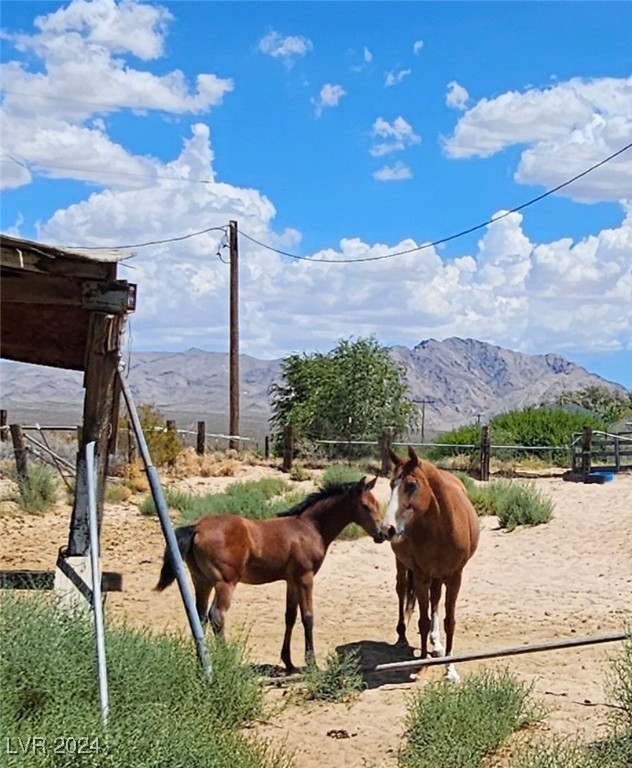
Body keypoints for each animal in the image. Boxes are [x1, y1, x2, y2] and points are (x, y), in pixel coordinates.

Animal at [155, 476, 382, 668]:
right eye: (365, 506)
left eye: (377, 504)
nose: (382, 533)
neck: (310, 527)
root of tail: (197, 527)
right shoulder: (305, 577)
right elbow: (308, 617)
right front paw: (312, 664)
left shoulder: (291, 580)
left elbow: (290, 616)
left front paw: (288, 662)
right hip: (225, 583)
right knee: (216, 616)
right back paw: (226, 660)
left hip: (202, 581)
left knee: (199, 616)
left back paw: (201, 661)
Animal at [380, 448, 478, 680]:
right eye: (391, 484)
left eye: (411, 485)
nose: (387, 529)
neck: (442, 528)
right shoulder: (421, 576)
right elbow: (422, 621)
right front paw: (422, 666)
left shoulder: (454, 577)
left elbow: (449, 621)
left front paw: (450, 668)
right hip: (403, 565)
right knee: (401, 590)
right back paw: (402, 637)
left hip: (438, 576)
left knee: (435, 599)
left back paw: (437, 644)